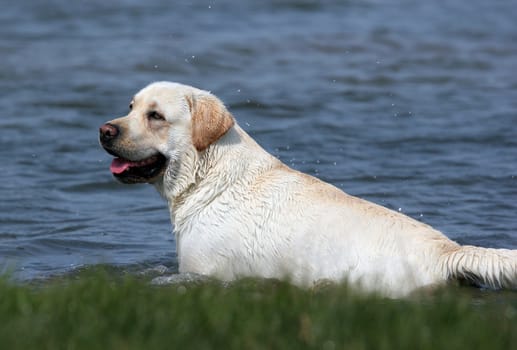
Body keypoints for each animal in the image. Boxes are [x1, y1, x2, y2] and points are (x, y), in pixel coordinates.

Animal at [99, 81, 512, 296]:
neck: (207, 175)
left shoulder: (203, 272)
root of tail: (447, 251)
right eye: (131, 106)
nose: (104, 130)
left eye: (156, 116)